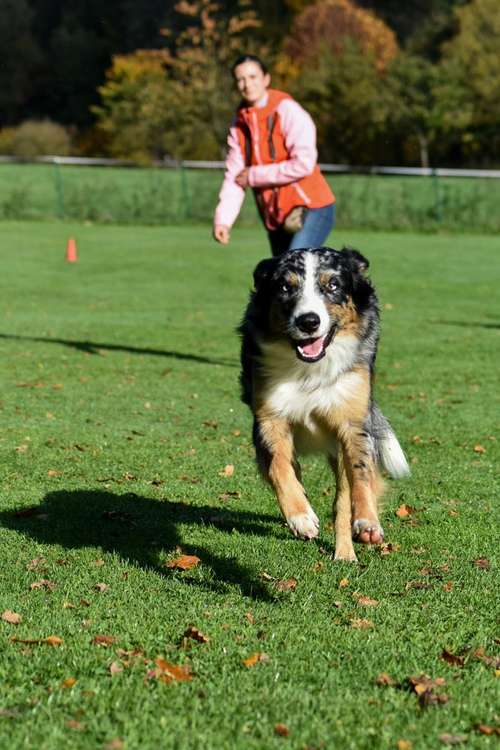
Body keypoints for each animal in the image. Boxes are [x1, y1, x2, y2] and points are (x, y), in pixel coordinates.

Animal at [239, 248, 410, 564]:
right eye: (285, 287)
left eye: (332, 285)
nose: (308, 321)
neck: (310, 370)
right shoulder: (269, 418)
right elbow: (279, 468)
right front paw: (300, 516)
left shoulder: (352, 423)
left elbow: (360, 475)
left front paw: (367, 521)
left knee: (342, 500)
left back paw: (345, 553)